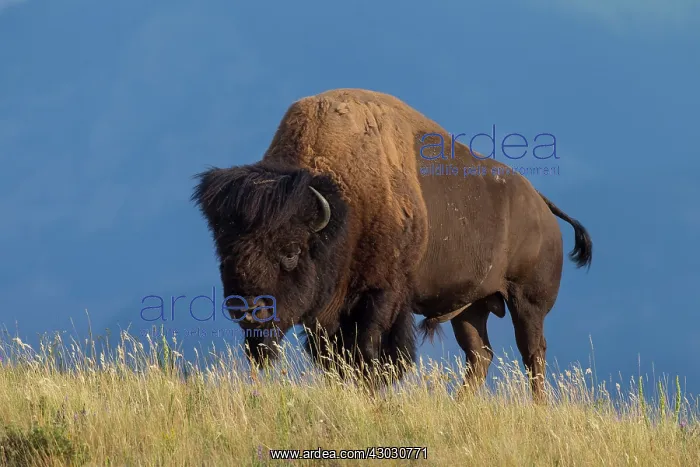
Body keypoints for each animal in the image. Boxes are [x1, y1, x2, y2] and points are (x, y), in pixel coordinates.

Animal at [191, 88, 592, 401]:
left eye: (290, 252)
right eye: (226, 253)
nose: (250, 312)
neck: (345, 206)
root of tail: (540, 204)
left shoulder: (382, 296)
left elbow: (370, 350)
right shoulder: (330, 313)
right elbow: (334, 357)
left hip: (527, 302)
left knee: (532, 353)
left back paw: (537, 407)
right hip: (471, 307)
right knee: (480, 355)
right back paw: (458, 404)